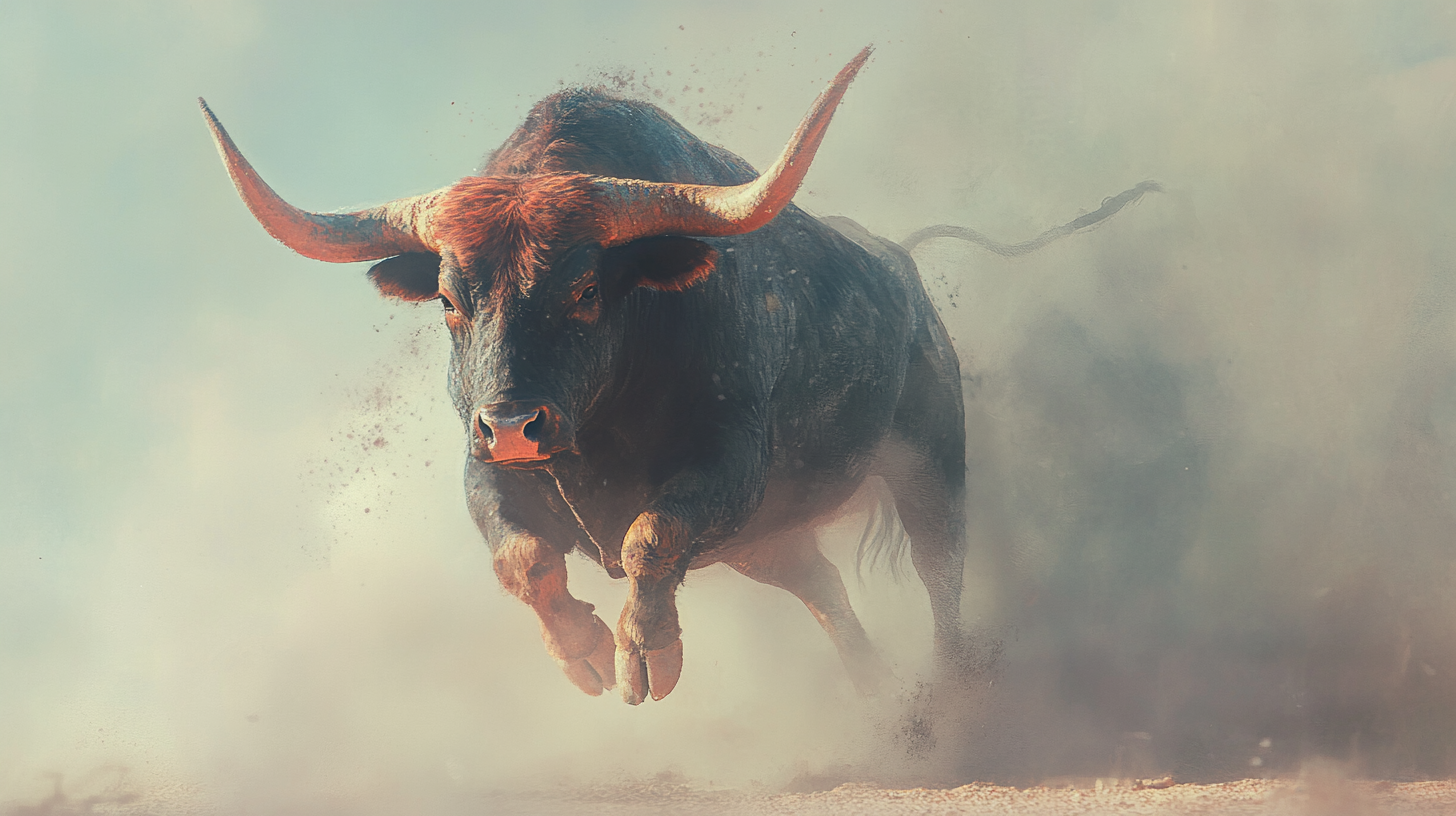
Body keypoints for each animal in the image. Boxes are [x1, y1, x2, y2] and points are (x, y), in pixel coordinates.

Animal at [201, 48, 1150, 705]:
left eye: (585, 289)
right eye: (447, 298)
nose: (514, 425)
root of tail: (903, 273)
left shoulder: (728, 461)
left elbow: (647, 538)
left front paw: (645, 653)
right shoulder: (485, 472)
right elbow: (524, 562)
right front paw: (585, 652)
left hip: (929, 459)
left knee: (940, 570)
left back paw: (950, 696)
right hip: (767, 539)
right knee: (825, 590)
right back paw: (883, 696)